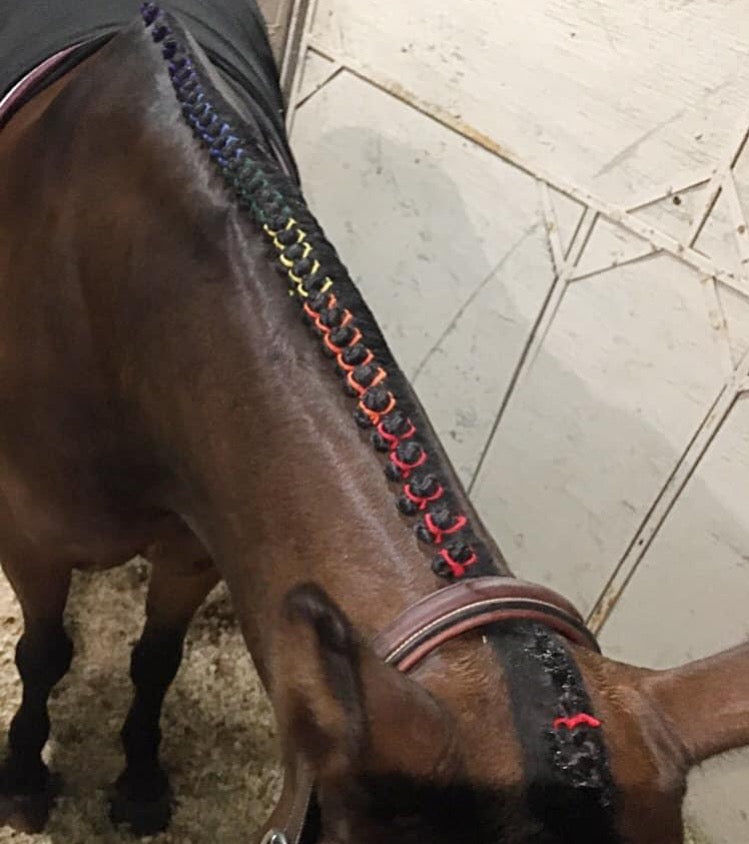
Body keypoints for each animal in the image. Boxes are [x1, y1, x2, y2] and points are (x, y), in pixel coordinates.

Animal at [0, 2, 747, 842]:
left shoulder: (197, 545)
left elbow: (155, 657)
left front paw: (138, 781)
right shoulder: (27, 540)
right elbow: (43, 655)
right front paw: (24, 779)